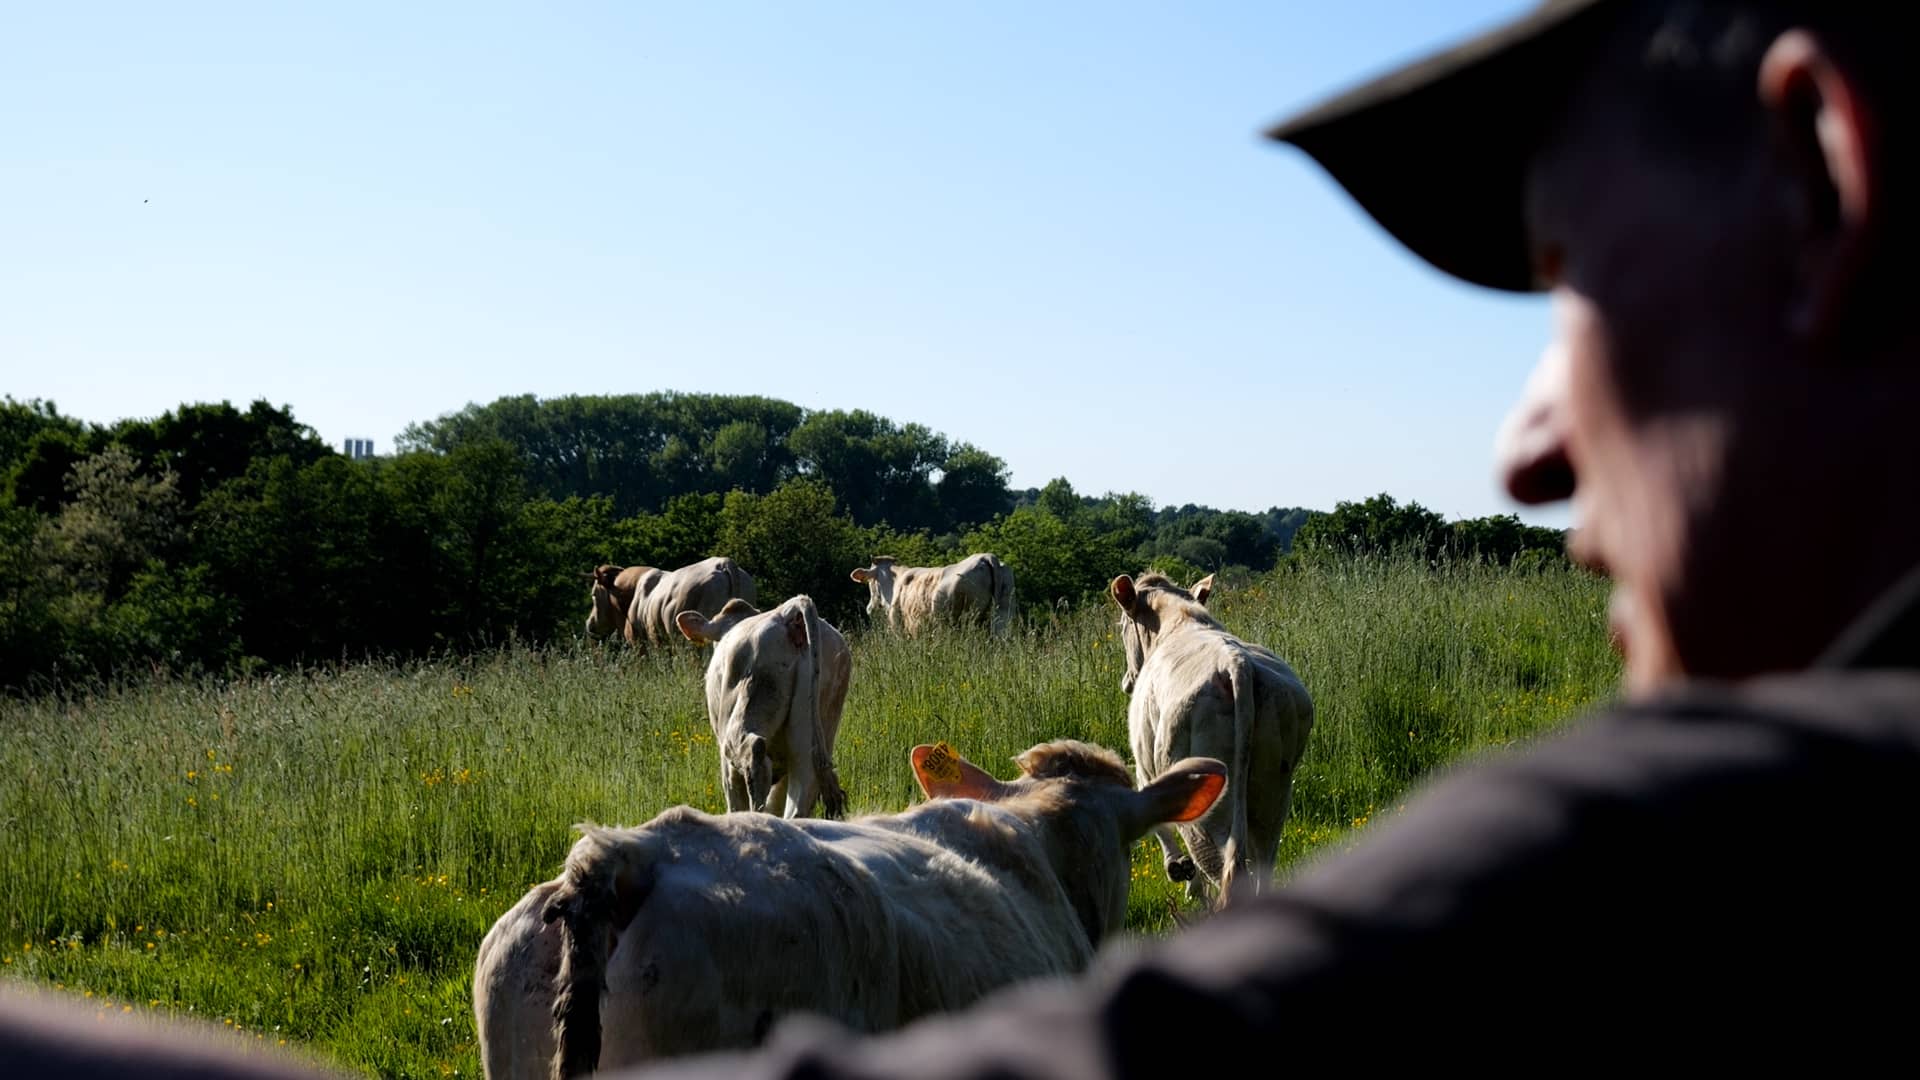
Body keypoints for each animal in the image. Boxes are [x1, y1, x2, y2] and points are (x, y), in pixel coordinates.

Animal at [848, 553, 1014, 638]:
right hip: (1002, 615)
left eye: (870, 581)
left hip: (966, 620)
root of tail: (985, 557)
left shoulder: (900, 627)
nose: (869, 608)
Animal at [1110, 571, 1315, 909]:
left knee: (1217, 863)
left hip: (1205, 794)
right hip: (1274, 791)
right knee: (1261, 862)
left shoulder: (1144, 763)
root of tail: (1237, 663)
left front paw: (1179, 870)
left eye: (1123, 625)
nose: (1127, 681)